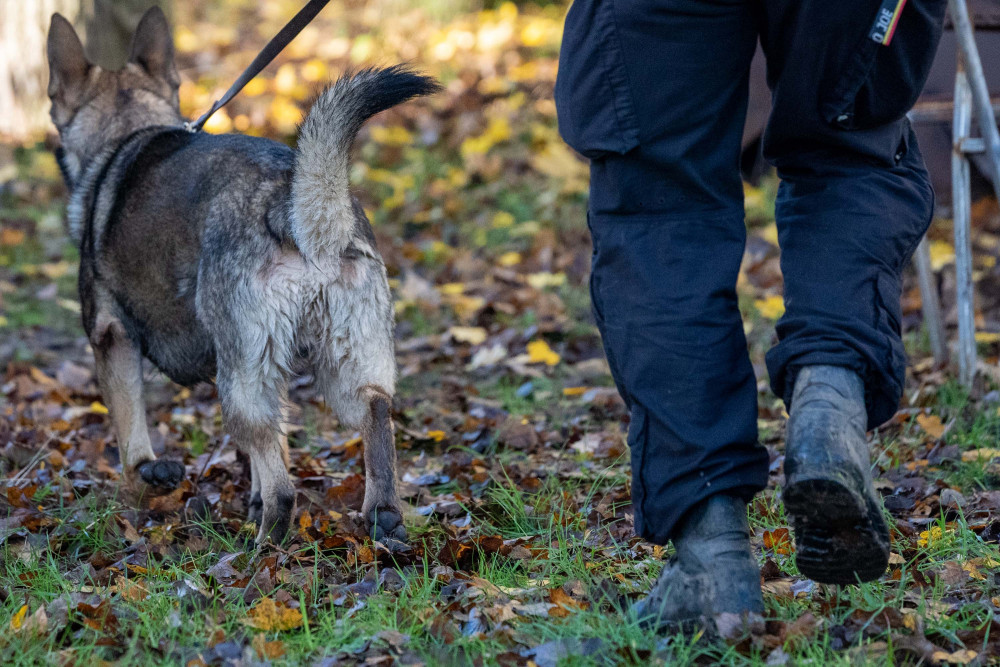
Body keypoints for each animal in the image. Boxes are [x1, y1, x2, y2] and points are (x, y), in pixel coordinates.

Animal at [46, 7, 438, 544]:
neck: (128, 132)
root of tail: (293, 206)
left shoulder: (112, 336)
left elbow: (130, 432)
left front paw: (142, 482)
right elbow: (272, 448)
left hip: (243, 381)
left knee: (284, 489)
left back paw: (262, 545)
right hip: (346, 361)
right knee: (375, 412)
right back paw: (382, 518)